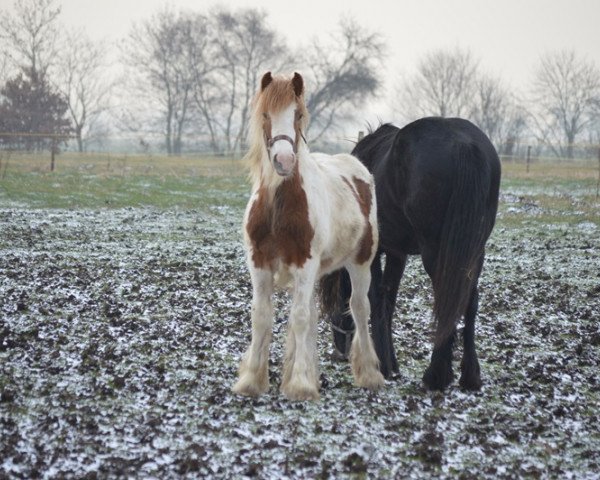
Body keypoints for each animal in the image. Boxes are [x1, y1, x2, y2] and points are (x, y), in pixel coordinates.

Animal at [231, 72, 384, 402]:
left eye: (298, 115)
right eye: (265, 115)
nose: (284, 161)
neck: (279, 205)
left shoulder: (305, 263)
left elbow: (299, 318)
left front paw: (300, 385)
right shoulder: (259, 263)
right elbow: (261, 317)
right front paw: (252, 381)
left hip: (360, 263)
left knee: (359, 308)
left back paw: (369, 373)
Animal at [324, 117, 502, 390]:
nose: (340, 350)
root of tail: (464, 144)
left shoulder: (375, 253)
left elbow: (375, 299)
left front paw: (383, 366)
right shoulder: (398, 254)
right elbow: (388, 299)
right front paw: (392, 364)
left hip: (436, 251)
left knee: (445, 297)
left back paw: (436, 375)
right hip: (474, 250)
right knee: (469, 299)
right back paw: (470, 376)